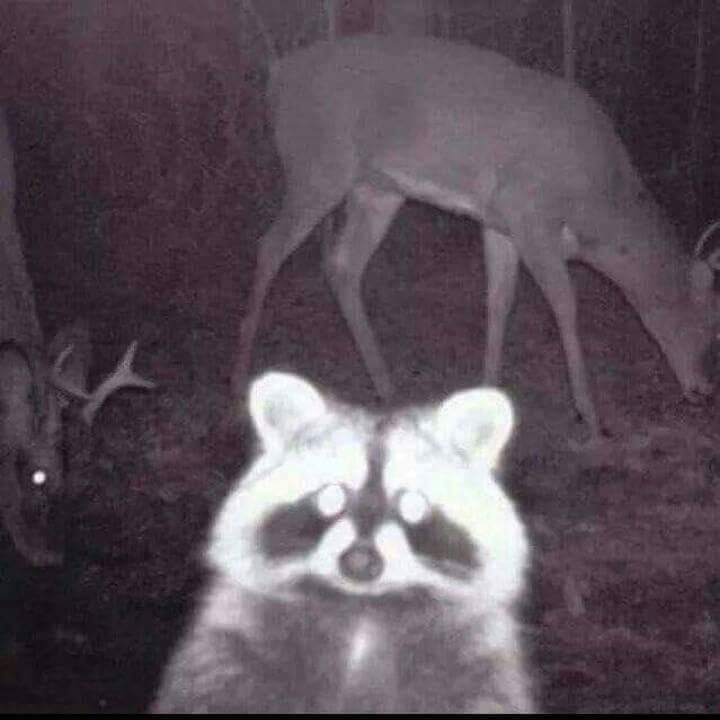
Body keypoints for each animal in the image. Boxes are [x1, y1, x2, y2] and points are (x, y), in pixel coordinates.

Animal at [151, 372, 534, 713]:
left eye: (412, 504)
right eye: (331, 496)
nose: (360, 561)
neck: (362, 607)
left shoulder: (478, 669)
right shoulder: (228, 653)